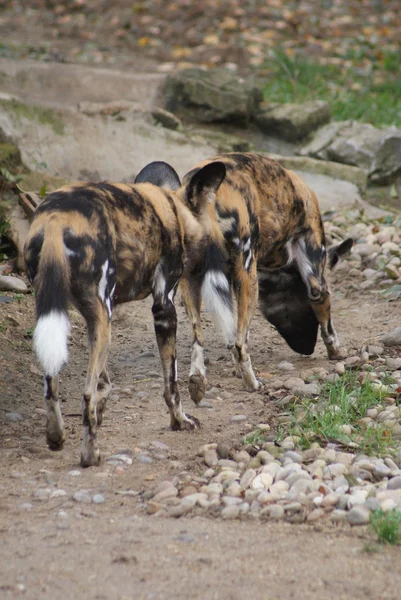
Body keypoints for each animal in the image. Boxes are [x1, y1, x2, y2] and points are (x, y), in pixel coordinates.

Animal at [22, 162, 222, 466]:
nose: (213, 256)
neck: (172, 207)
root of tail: (57, 218)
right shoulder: (164, 306)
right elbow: (171, 385)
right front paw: (180, 421)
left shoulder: (102, 314)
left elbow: (104, 380)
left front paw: (102, 408)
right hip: (103, 316)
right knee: (85, 393)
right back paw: (91, 455)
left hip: (76, 316)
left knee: (50, 382)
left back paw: (56, 436)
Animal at [138, 152, 354, 404]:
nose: (308, 349)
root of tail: (207, 200)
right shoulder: (314, 275)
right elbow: (327, 324)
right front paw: (336, 352)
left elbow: (234, 333)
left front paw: (234, 368)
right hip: (249, 274)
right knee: (240, 344)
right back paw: (253, 383)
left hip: (191, 281)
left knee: (199, 339)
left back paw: (198, 381)